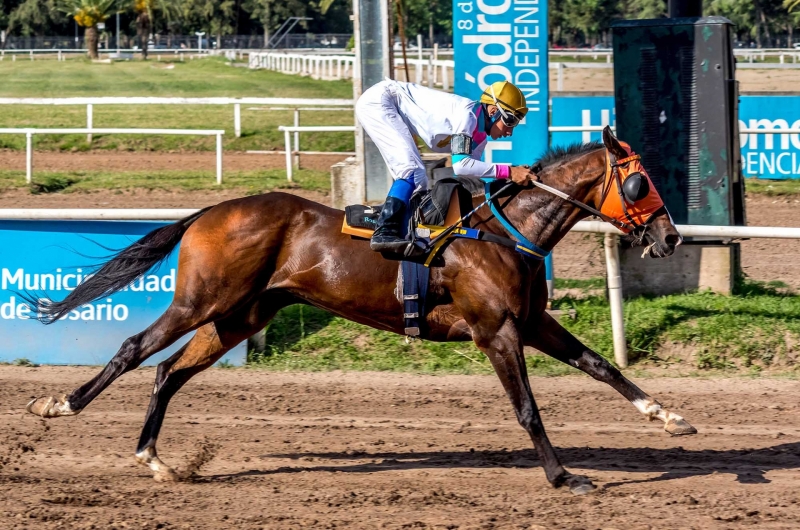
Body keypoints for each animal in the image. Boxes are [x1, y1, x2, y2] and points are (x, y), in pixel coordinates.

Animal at [26, 129, 692, 496]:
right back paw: (61, 405)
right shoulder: (497, 332)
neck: (503, 231)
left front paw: (667, 416)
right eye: (640, 183)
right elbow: (528, 408)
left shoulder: (529, 323)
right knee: (134, 350)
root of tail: (209, 211)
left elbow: (601, 365)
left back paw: (156, 460)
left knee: (168, 371)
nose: (670, 238)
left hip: (241, 316)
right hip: (202, 300)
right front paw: (562, 476)